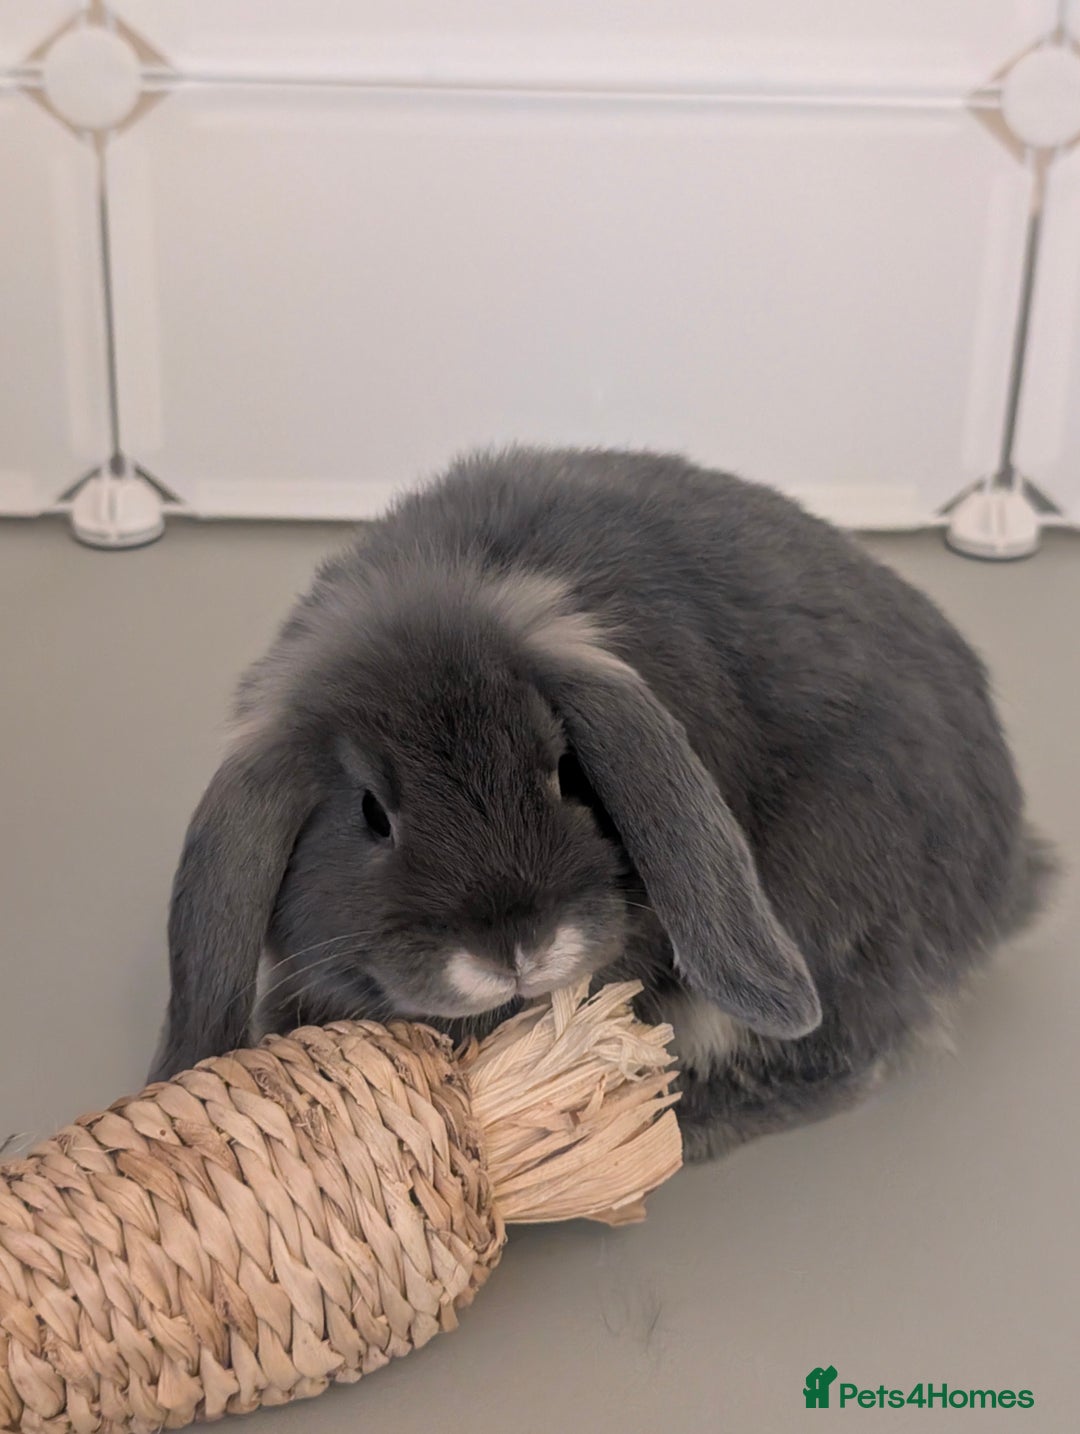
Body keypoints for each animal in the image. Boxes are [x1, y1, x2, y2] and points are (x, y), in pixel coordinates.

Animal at [150, 446, 1054, 1161]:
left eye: (562, 772)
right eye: (371, 811)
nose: (516, 946)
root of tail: (1010, 868)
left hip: (833, 903)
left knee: (839, 1060)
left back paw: (690, 1124)